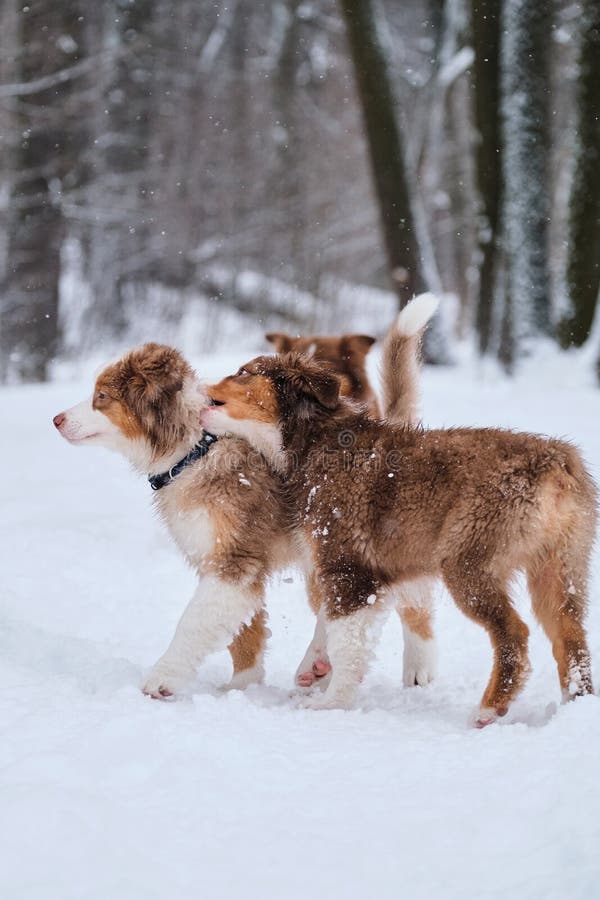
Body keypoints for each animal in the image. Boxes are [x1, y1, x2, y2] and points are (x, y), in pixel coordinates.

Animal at [204, 352, 596, 724]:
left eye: (244, 372)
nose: (202, 389)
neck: (315, 439)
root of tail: (555, 464)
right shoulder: (357, 572)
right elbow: (329, 621)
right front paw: (314, 667)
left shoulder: (348, 568)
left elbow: (346, 640)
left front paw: (332, 703)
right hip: (560, 567)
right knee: (569, 637)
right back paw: (575, 706)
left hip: (468, 561)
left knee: (515, 633)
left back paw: (489, 708)